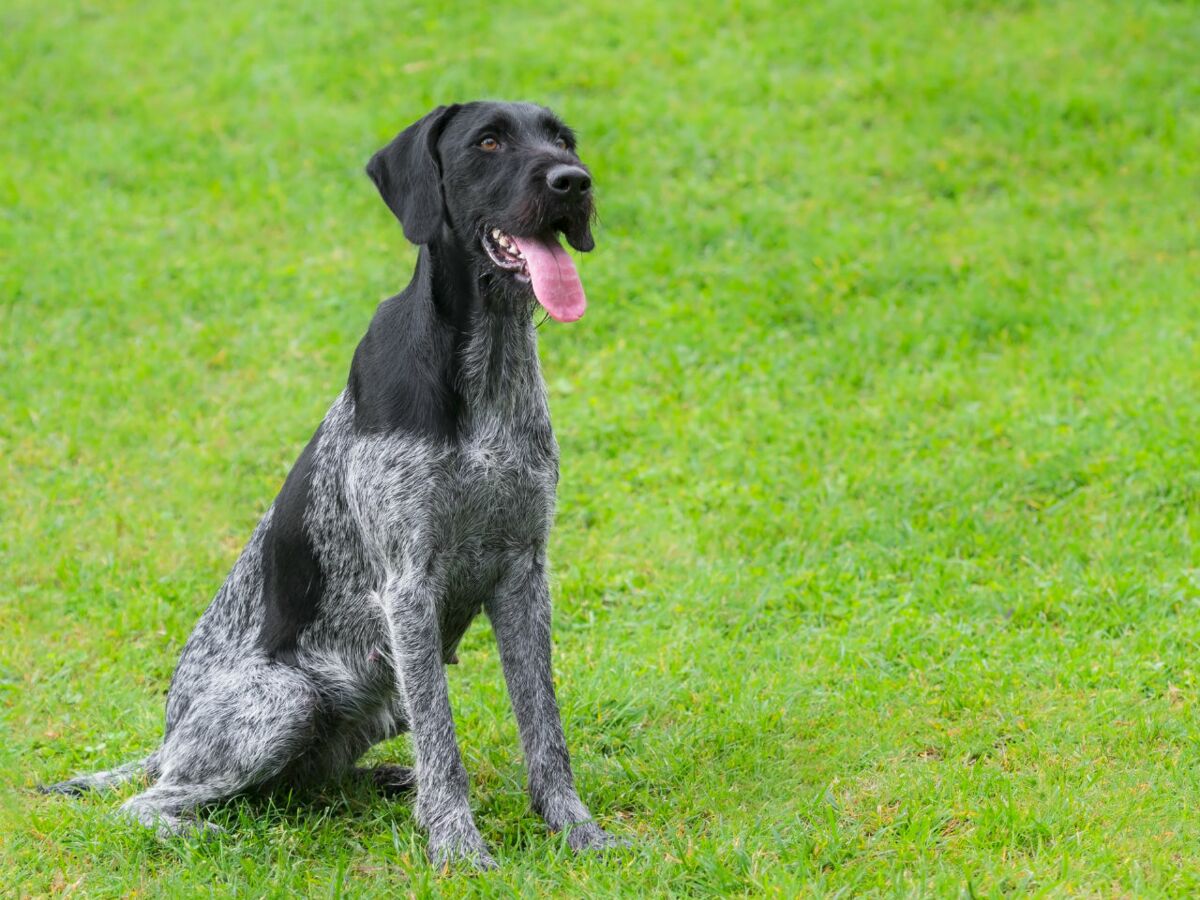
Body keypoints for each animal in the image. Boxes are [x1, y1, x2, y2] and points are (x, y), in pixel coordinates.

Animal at [42, 102, 624, 868]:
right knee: (146, 805)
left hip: (378, 697)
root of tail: (168, 739)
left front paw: (573, 828)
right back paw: (210, 835)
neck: (484, 362)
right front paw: (458, 849)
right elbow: (446, 743)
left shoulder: (525, 573)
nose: (573, 182)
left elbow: (544, 727)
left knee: (301, 784)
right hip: (285, 699)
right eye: (489, 141)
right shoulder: (409, 588)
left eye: (562, 140)